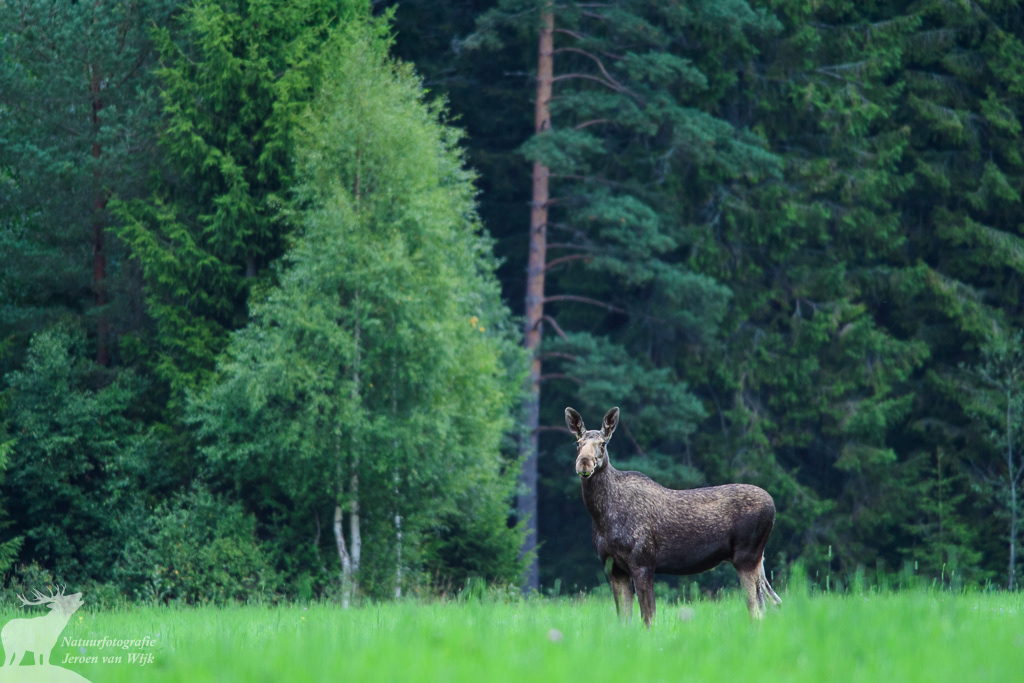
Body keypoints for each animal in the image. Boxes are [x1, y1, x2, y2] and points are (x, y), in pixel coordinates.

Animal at [566, 406, 781, 627]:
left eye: (603, 443)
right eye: (577, 443)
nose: (584, 463)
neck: (602, 516)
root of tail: (773, 506)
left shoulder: (643, 562)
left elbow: (649, 618)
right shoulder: (614, 568)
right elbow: (624, 620)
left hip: (746, 555)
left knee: (757, 610)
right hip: (757, 558)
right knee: (773, 601)